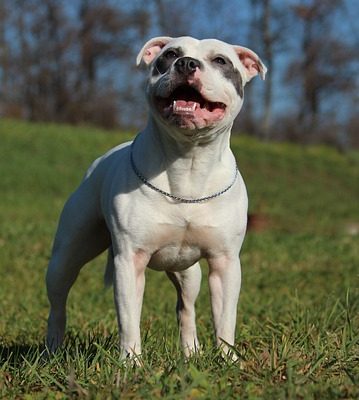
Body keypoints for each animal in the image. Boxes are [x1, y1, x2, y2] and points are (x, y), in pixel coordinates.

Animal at [45, 36, 268, 360]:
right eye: (170, 54)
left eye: (220, 60)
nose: (186, 63)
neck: (187, 163)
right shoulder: (130, 261)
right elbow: (129, 319)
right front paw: (131, 362)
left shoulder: (225, 263)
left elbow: (225, 319)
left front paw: (228, 360)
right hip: (66, 256)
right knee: (58, 302)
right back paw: (51, 348)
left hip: (188, 273)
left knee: (185, 307)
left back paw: (191, 352)